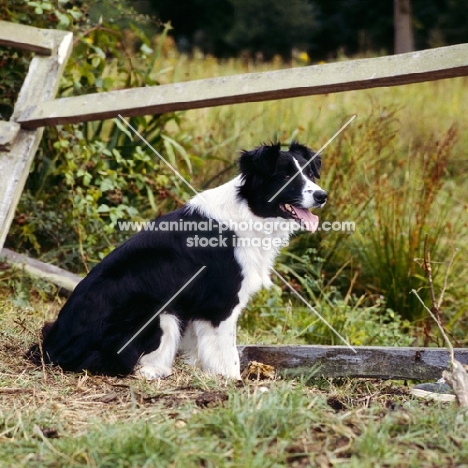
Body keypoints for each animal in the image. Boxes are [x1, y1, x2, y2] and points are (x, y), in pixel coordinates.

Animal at [27, 142, 328, 380]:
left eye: (309, 173)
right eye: (286, 176)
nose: (322, 196)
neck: (250, 211)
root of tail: (52, 349)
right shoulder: (221, 303)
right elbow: (228, 353)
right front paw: (232, 381)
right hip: (158, 313)